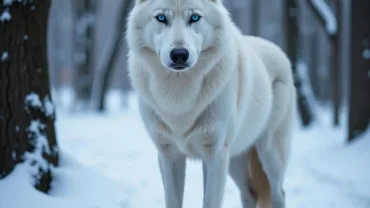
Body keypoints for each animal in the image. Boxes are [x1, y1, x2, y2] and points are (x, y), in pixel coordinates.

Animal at [125, 0, 296, 206]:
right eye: (161, 18)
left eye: (194, 17)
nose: (179, 54)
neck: (179, 97)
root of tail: (280, 52)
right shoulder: (169, 155)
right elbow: (173, 200)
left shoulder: (215, 155)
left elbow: (210, 201)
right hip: (236, 159)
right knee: (249, 194)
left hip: (269, 154)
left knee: (279, 193)